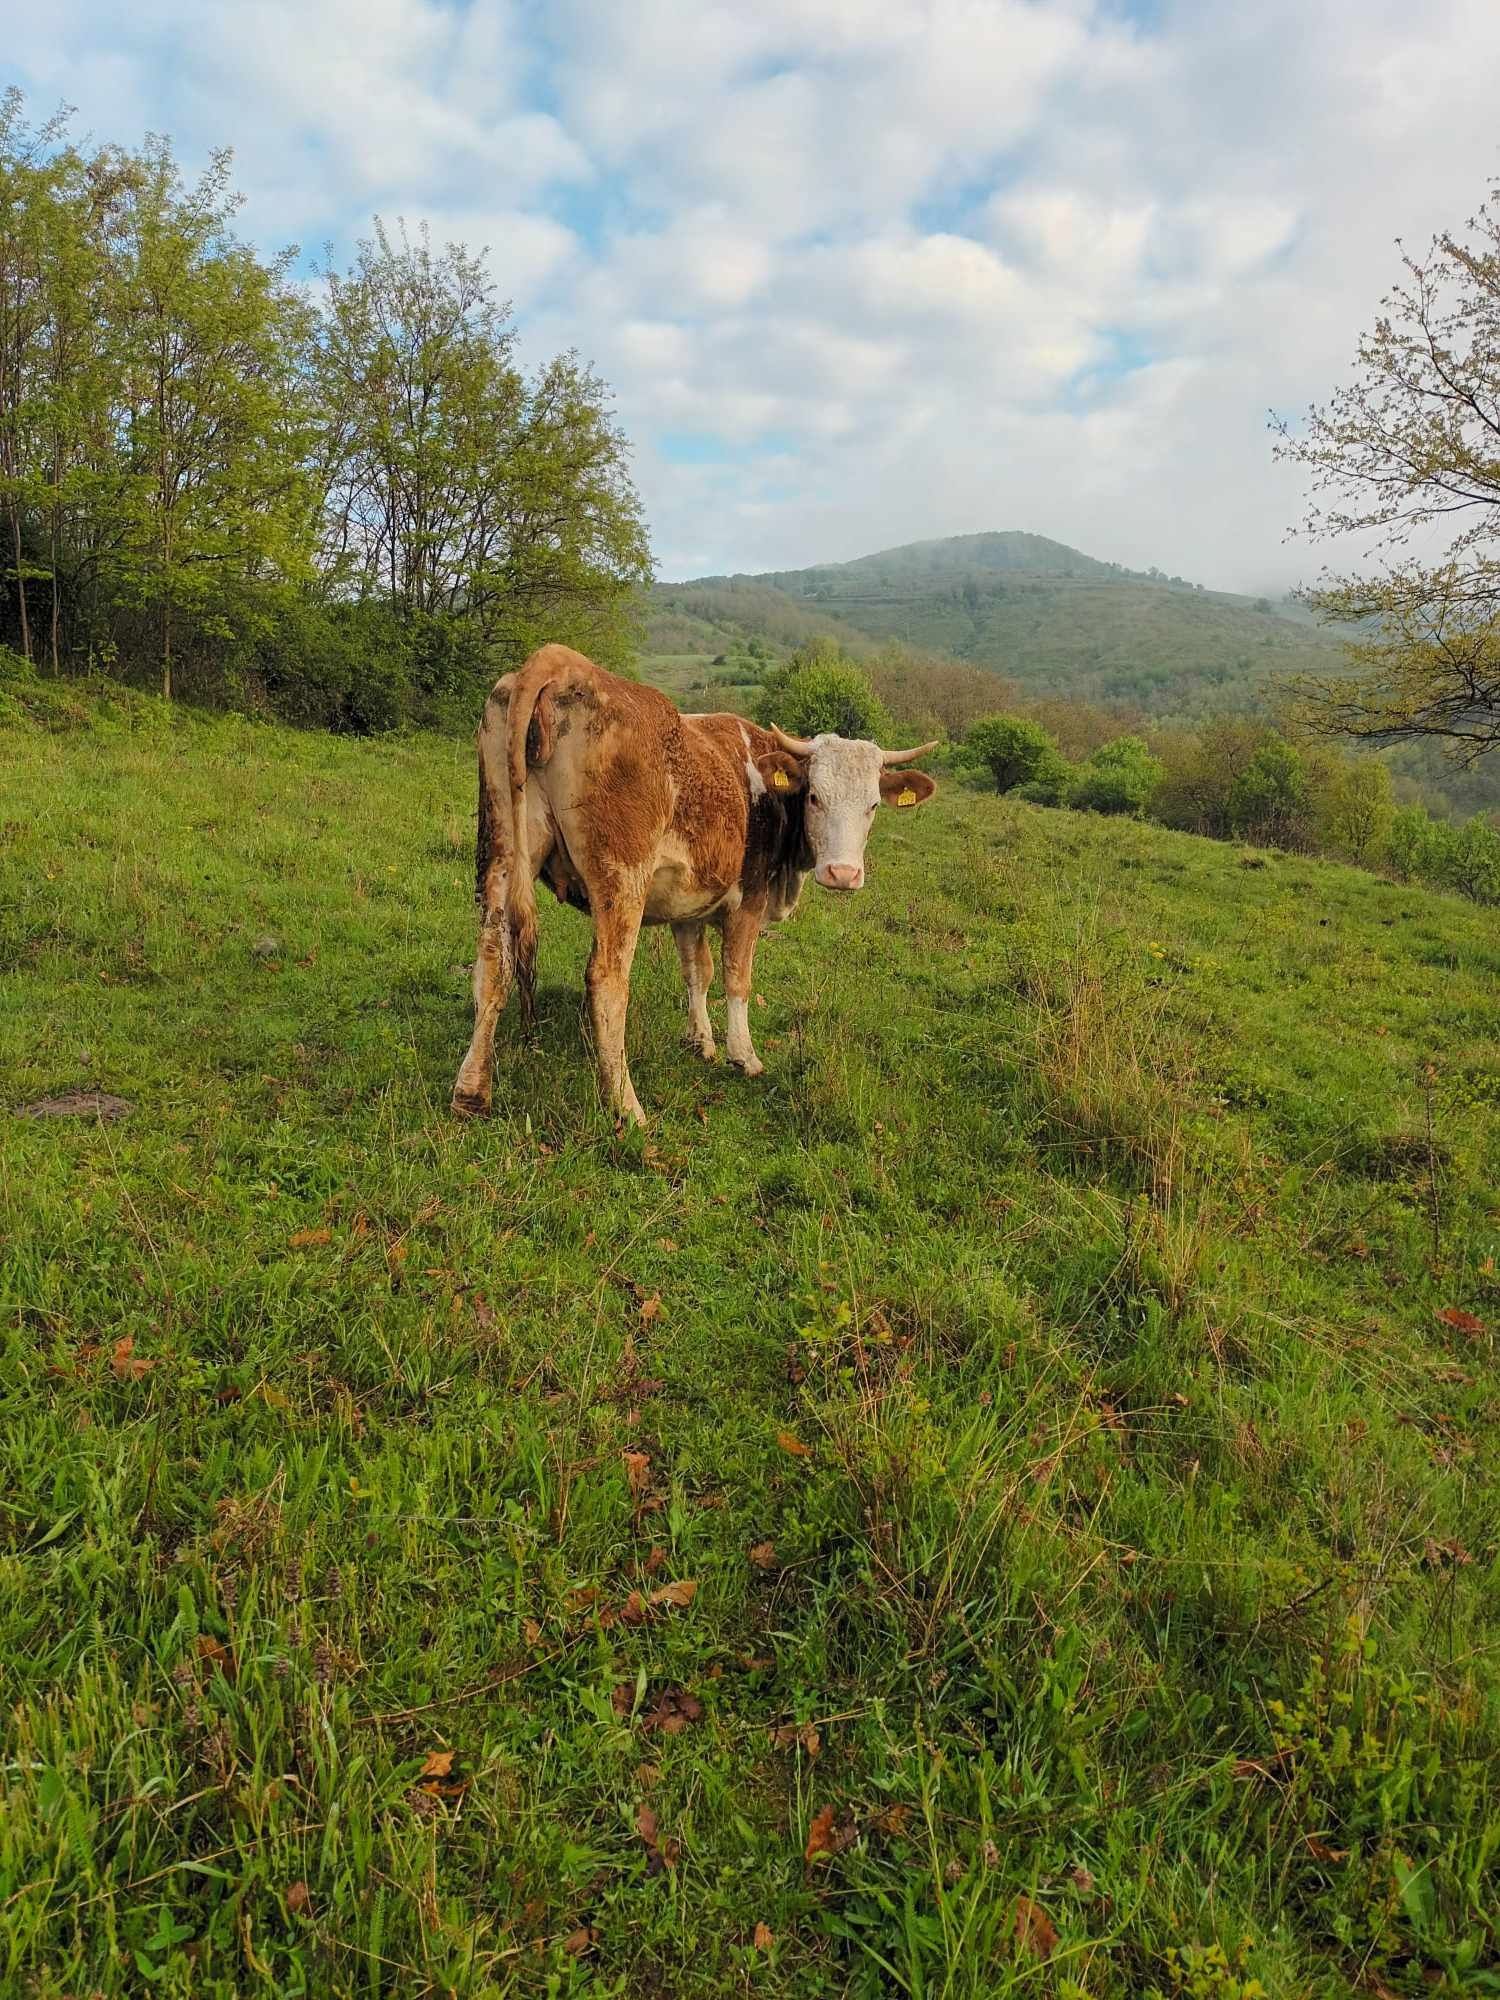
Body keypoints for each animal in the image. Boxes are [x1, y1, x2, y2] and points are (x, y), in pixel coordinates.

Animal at [450, 652, 940, 1136]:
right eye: (815, 797)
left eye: (872, 805)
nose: (842, 873)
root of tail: (559, 661)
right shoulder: (748, 901)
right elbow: (736, 977)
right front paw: (743, 1055)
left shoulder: (688, 908)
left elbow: (697, 972)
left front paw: (700, 1040)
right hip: (621, 878)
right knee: (607, 981)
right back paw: (627, 1106)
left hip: (500, 852)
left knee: (494, 960)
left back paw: (472, 1091)